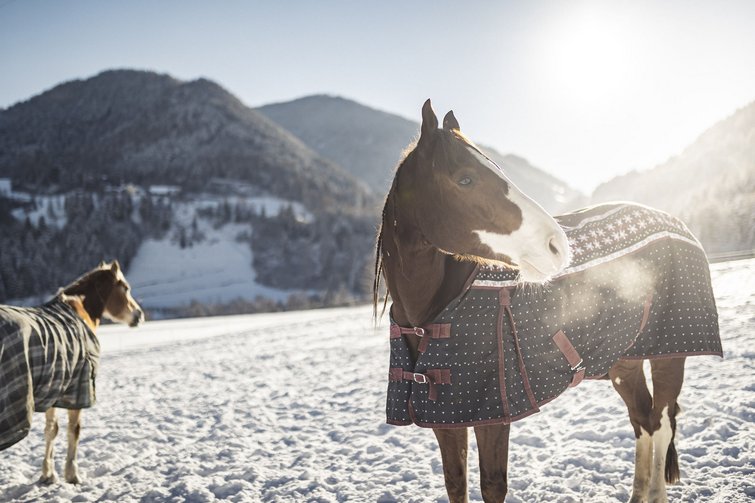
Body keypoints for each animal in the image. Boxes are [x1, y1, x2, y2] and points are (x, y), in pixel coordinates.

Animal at [0, 260, 144, 484]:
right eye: (125, 288)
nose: (139, 316)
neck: (80, 310)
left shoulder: (55, 386)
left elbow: (51, 430)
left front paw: (48, 474)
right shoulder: (78, 388)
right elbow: (73, 430)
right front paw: (72, 475)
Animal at [374, 100, 721, 503]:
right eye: (465, 179)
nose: (557, 245)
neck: (431, 313)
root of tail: (676, 222)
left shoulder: (493, 418)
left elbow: (492, 485)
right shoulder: (447, 417)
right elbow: (455, 483)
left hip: (670, 353)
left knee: (661, 423)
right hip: (626, 362)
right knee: (642, 420)